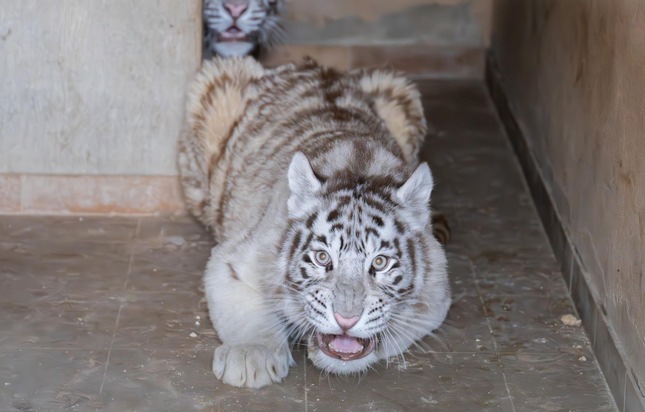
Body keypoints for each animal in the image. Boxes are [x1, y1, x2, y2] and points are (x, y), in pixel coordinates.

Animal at [176, 56, 448, 388]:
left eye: (380, 262)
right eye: (322, 258)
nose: (346, 319)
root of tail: (310, 64)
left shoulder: (437, 296)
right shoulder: (232, 262)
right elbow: (246, 312)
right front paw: (251, 357)